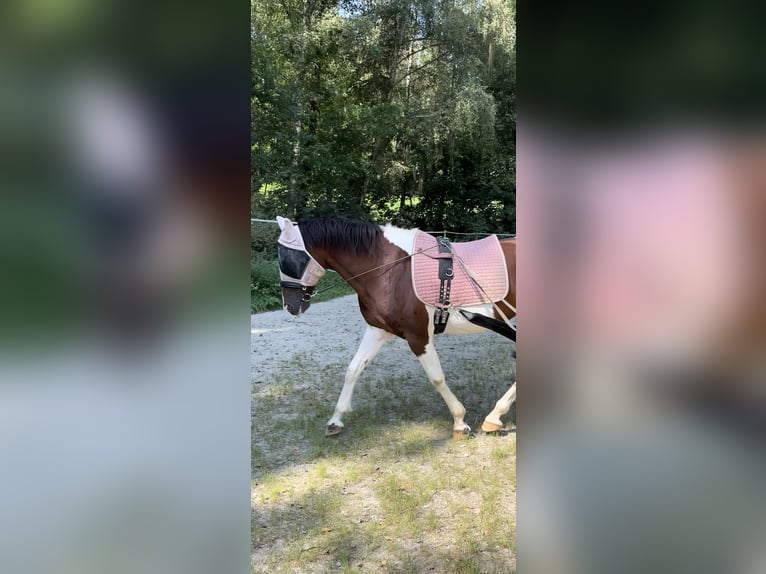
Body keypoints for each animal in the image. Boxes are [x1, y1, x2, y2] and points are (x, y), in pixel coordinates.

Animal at [274, 216, 516, 436]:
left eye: (287, 258)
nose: (289, 306)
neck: (390, 269)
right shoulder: (378, 331)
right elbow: (353, 369)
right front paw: (336, 420)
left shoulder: (418, 337)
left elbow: (436, 378)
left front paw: (459, 421)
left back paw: (494, 416)